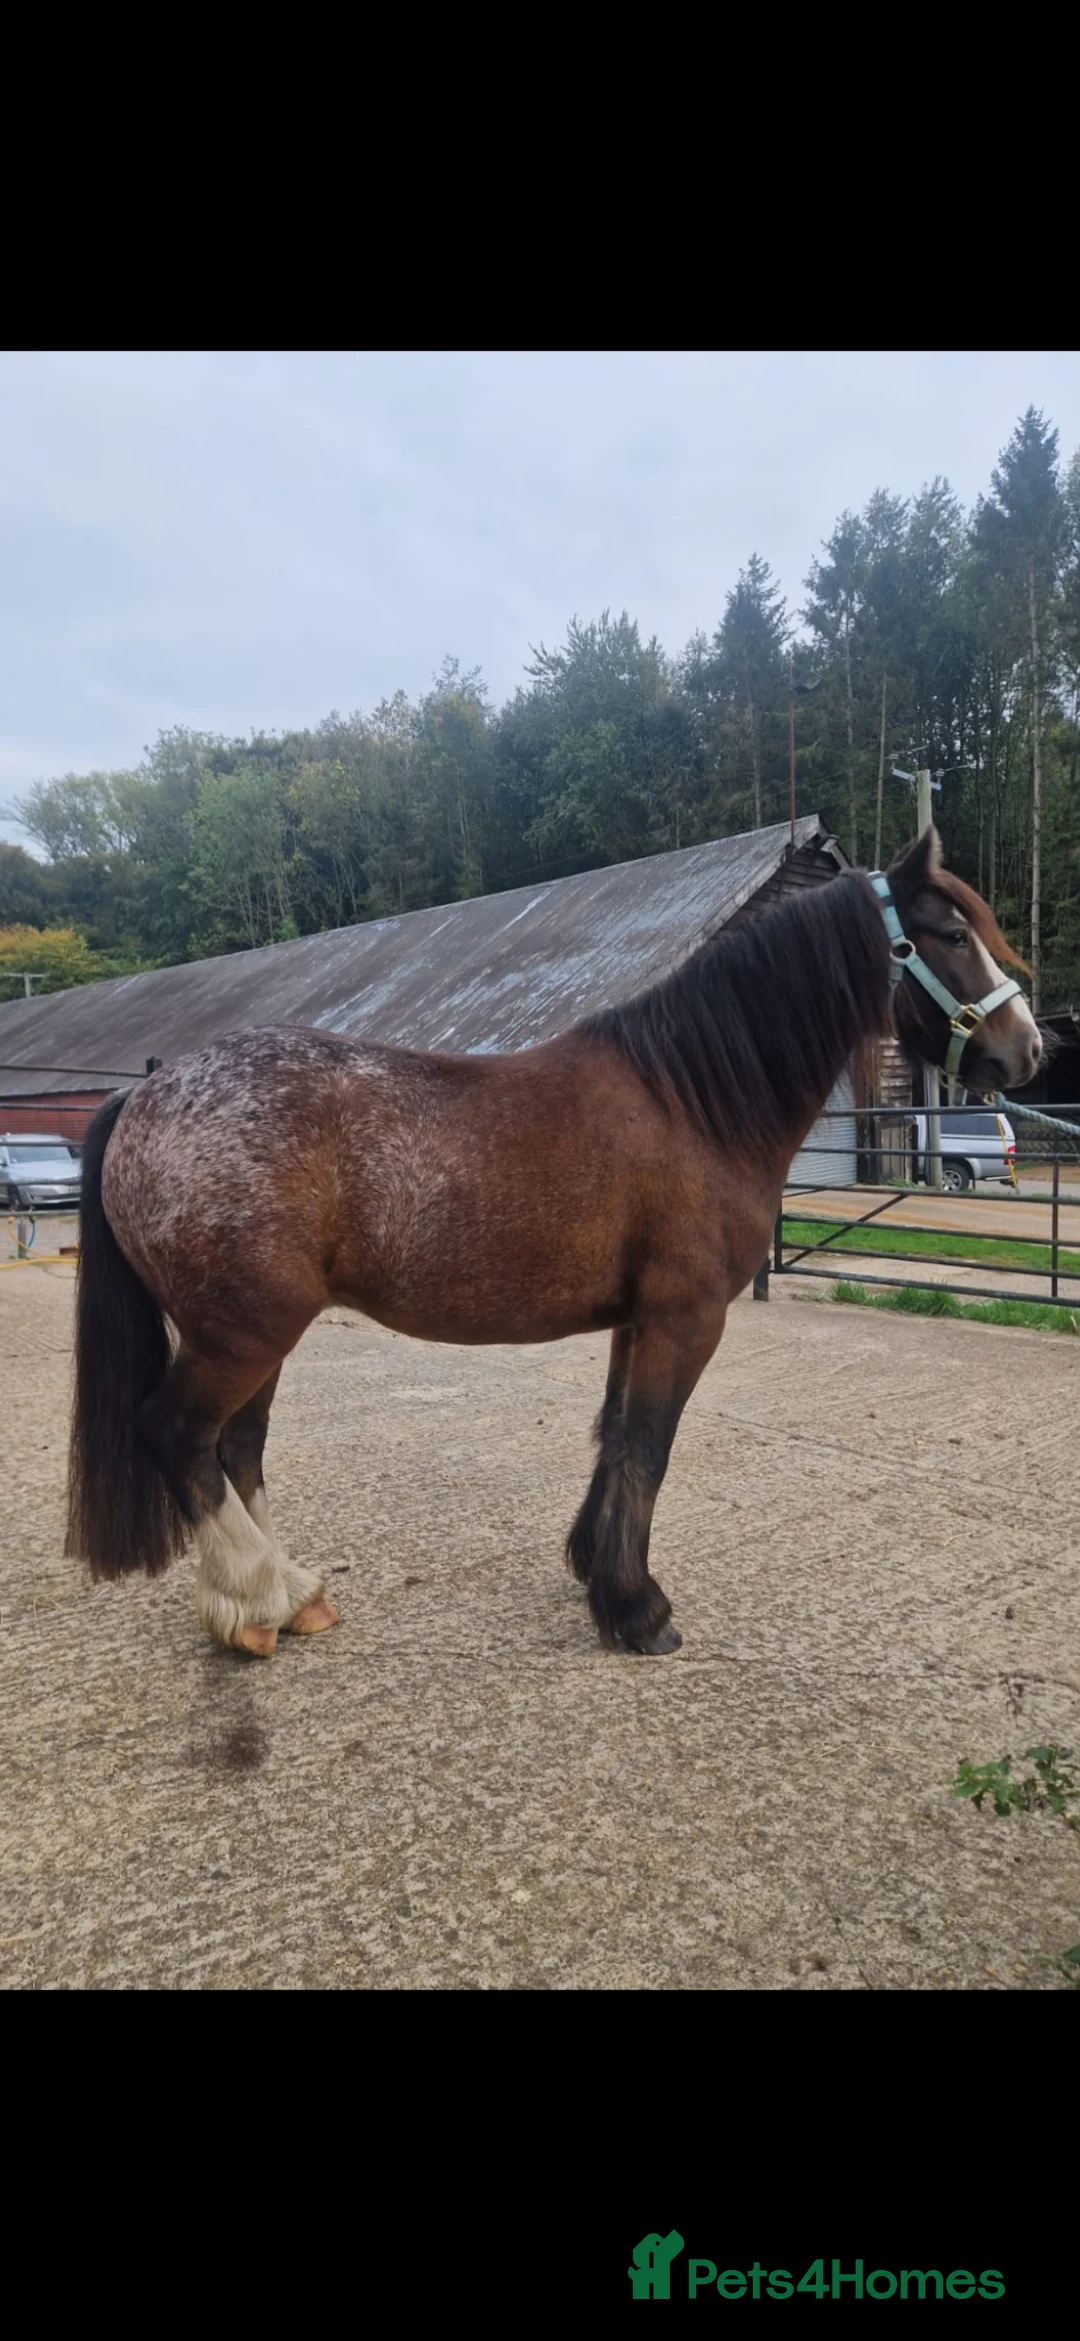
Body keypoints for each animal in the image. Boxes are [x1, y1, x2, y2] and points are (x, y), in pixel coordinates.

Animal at [65, 826, 1040, 1661]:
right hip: (245, 1331)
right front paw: (639, 1610)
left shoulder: (637, 1319)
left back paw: (289, 1600)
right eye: (954, 934)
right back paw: (265, 1597)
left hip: (252, 1334)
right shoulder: (685, 1318)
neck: (691, 1101)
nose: (1027, 1050)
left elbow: (613, 1435)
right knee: (181, 1435)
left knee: (238, 1447)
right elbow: (649, 1446)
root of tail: (144, 1097)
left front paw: (597, 1572)